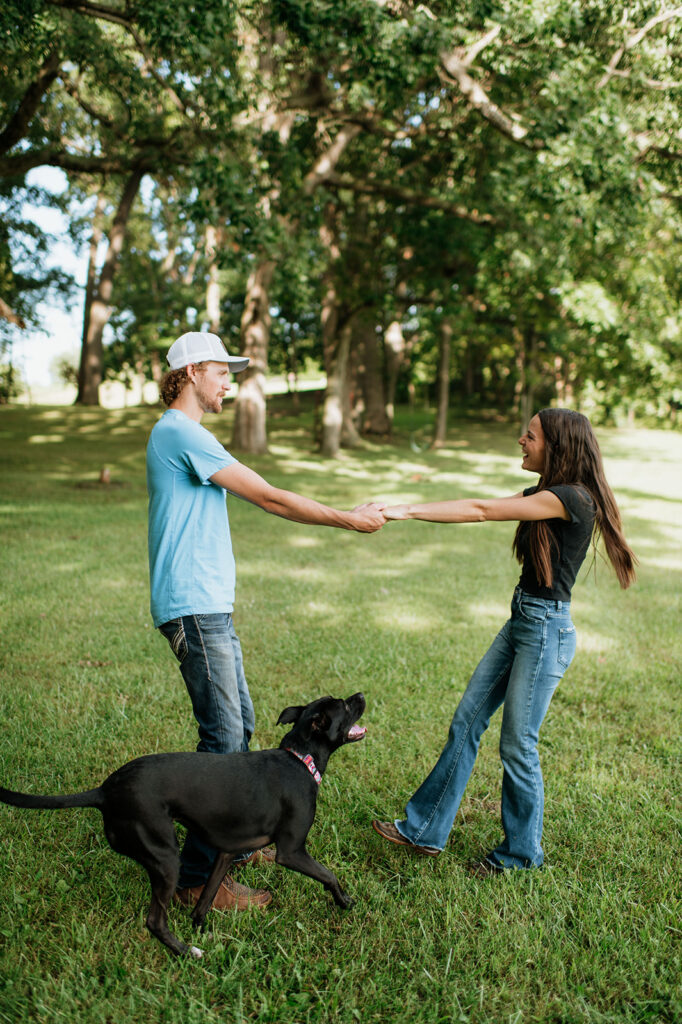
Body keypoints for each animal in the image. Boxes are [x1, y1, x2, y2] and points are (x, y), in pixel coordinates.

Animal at [0, 692, 366, 954]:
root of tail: (105, 791)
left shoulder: (224, 852)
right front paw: (345, 902)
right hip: (164, 857)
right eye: (345, 706)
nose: (361, 694)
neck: (300, 759)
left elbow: (205, 897)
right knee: (153, 921)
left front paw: (201, 926)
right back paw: (185, 952)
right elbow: (329, 875)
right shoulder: (291, 852)